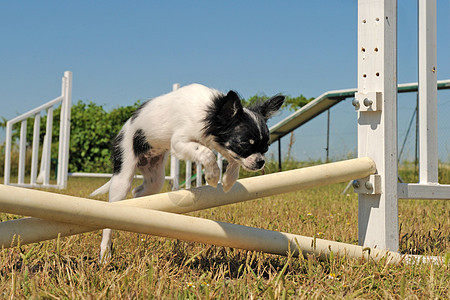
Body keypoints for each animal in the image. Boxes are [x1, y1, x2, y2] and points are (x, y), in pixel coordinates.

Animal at [91, 82, 284, 260]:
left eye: (266, 148)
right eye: (244, 144)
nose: (260, 162)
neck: (211, 110)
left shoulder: (218, 144)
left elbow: (233, 160)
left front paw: (228, 181)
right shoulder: (179, 143)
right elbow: (207, 154)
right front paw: (212, 176)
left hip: (155, 179)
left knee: (138, 192)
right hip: (124, 174)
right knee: (111, 215)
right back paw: (105, 252)